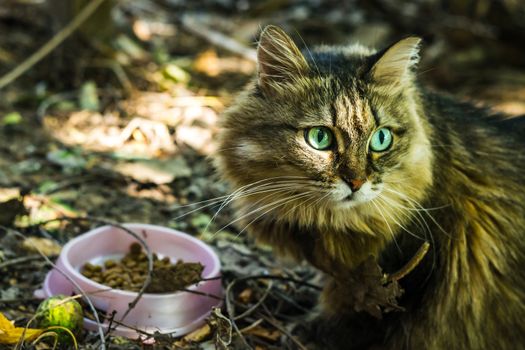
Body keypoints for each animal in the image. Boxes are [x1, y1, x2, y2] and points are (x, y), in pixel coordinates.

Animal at [213, 26, 524, 348]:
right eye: (320, 138)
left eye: (381, 139)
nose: (356, 182)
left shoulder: (401, 279)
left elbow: (351, 318)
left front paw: (305, 331)